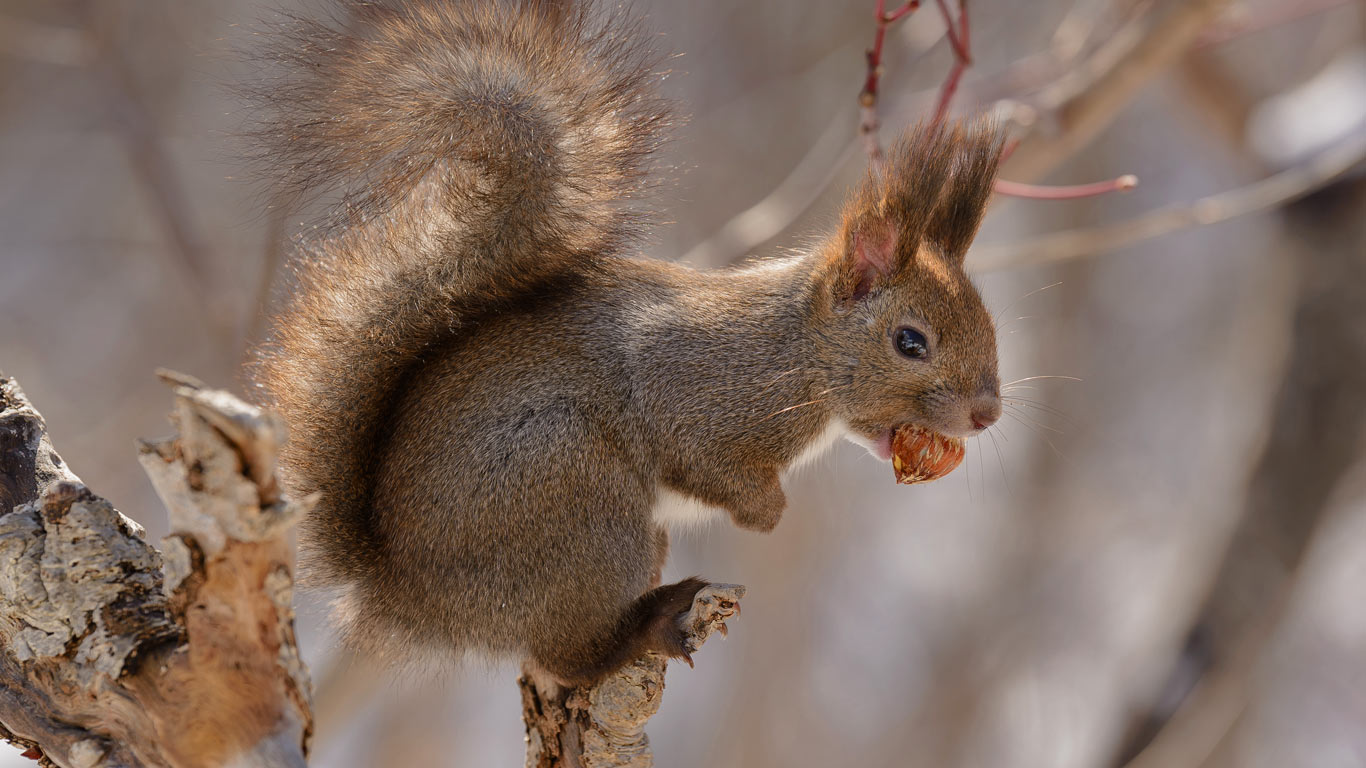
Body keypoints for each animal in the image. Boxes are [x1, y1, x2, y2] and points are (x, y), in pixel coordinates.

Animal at [249, 0, 1004, 687]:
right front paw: (769, 513)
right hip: (578, 501)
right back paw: (646, 628)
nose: (987, 415)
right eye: (910, 342)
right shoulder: (696, 389)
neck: (799, 353)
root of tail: (407, 594)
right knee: (565, 657)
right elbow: (703, 456)